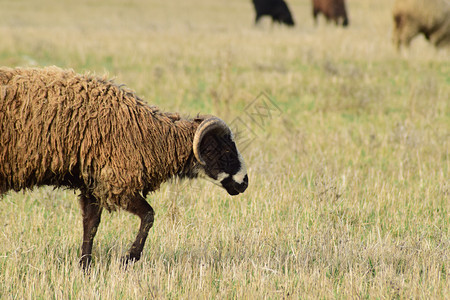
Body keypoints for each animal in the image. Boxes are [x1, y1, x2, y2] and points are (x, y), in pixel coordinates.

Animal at [0, 67, 248, 268]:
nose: (244, 183)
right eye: (226, 152)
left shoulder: (94, 185)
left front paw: (85, 266)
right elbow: (148, 216)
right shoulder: (117, 185)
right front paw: (129, 258)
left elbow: (90, 225)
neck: (152, 136)